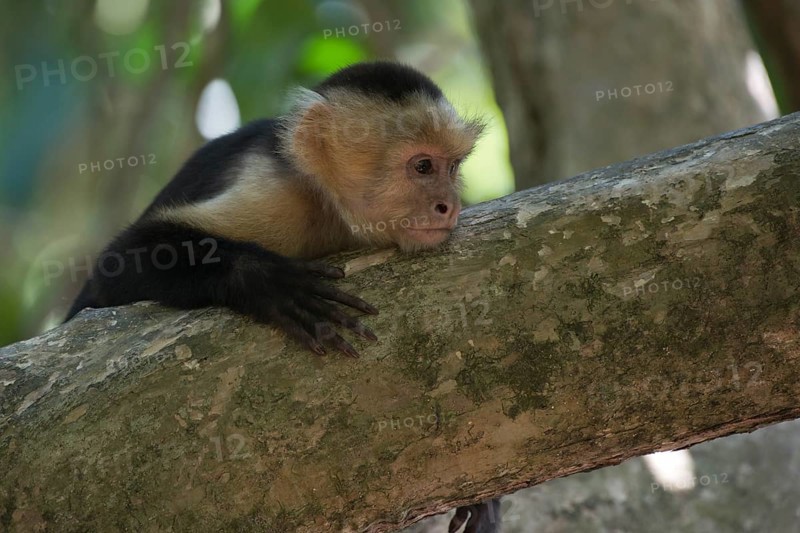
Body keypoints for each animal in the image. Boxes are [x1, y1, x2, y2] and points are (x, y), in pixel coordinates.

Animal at [64, 61, 498, 532]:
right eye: (422, 167)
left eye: (452, 167)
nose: (448, 206)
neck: (332, 211)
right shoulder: (278, 194)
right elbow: (115, 269)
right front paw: (266, 281)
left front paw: (485, 501)